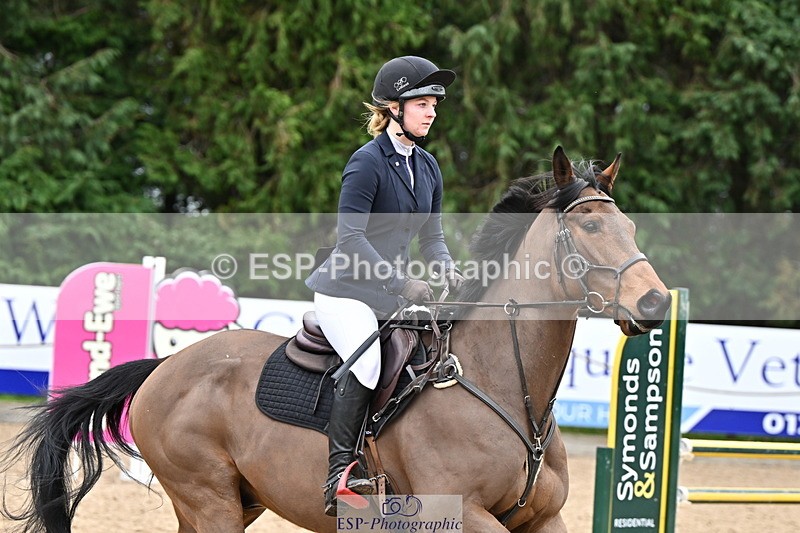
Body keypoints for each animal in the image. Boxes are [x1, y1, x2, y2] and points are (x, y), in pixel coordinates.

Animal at [1, 146, 671, 533]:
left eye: (631, 226)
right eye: (589, 228)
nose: (656, 304)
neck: (504, 383)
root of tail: (165, 368)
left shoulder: (544, 520)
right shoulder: (463, 515)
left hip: (236, 501)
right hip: (208, 499)